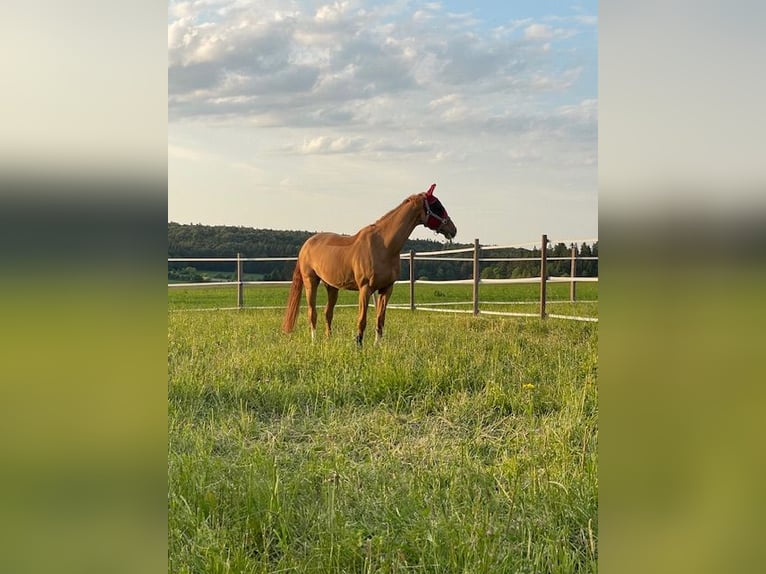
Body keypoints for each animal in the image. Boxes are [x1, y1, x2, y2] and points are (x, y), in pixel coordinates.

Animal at [284, 184, 460, 346]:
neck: (384, 246)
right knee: (312, 313)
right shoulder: (365, 288)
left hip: (331, 286)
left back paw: (329, 340)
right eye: (437, 205)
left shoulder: (386, 289)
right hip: (311, 282)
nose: (453, 229)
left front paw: (377, 346)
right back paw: (314, 342)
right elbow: (362, 320)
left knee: (328, 313)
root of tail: (307, 244)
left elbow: (380, 320)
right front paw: (359, 346)